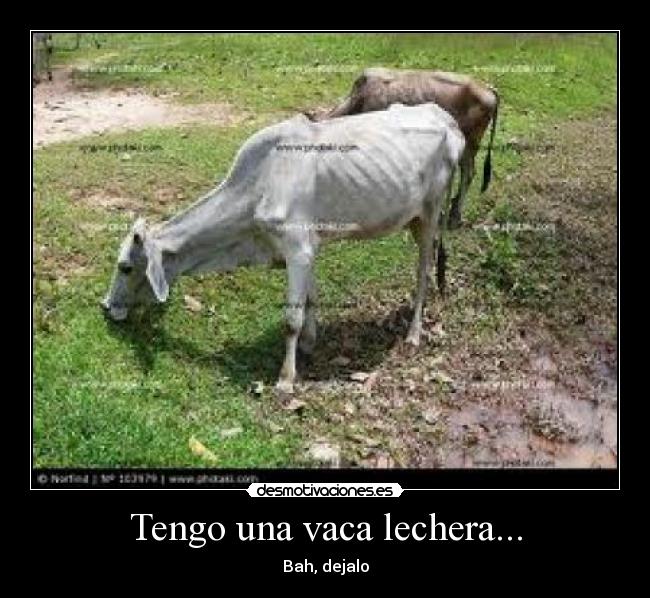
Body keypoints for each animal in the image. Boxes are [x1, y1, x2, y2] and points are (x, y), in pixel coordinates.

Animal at [102, 103, 465, 393]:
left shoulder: (296, 249)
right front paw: (309, 343)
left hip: (430, 215)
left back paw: (414, 333)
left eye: (126, 267)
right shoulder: (308, 249)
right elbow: (310, 299)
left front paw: (286, 378)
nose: (105, 306)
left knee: (423, 270)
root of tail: (445, 118)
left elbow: (291, 317)